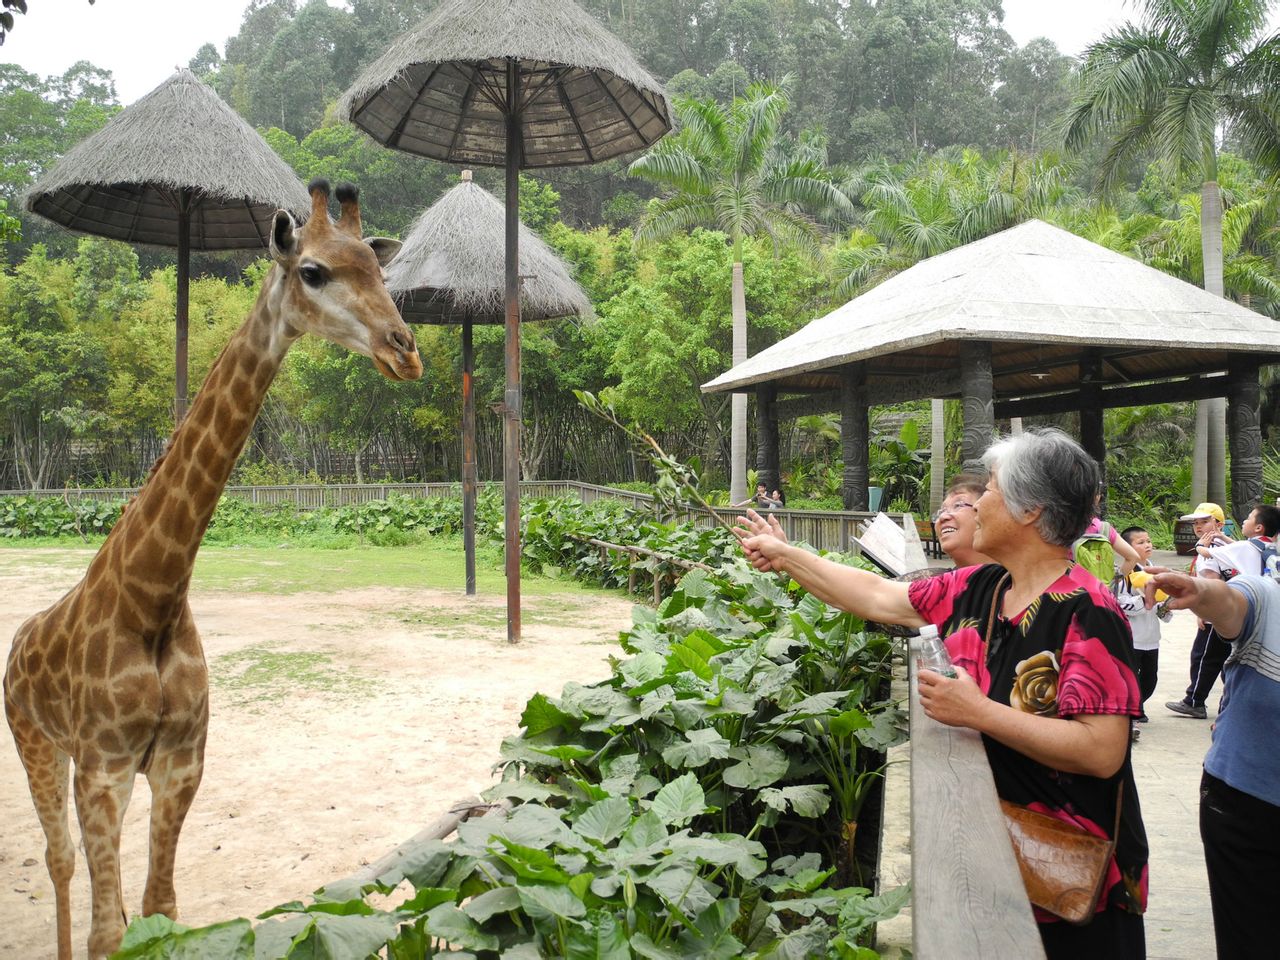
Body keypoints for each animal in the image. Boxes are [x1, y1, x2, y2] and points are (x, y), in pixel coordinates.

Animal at [3, 180, 424, 960]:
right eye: (313, 271)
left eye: (380, 271)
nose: (403, 351)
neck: (156, 595)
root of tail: (18, 641)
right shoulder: (103, 771)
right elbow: (110, 931)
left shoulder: (180, 765)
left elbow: (160, 908)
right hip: (34, 742)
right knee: (59, 859)